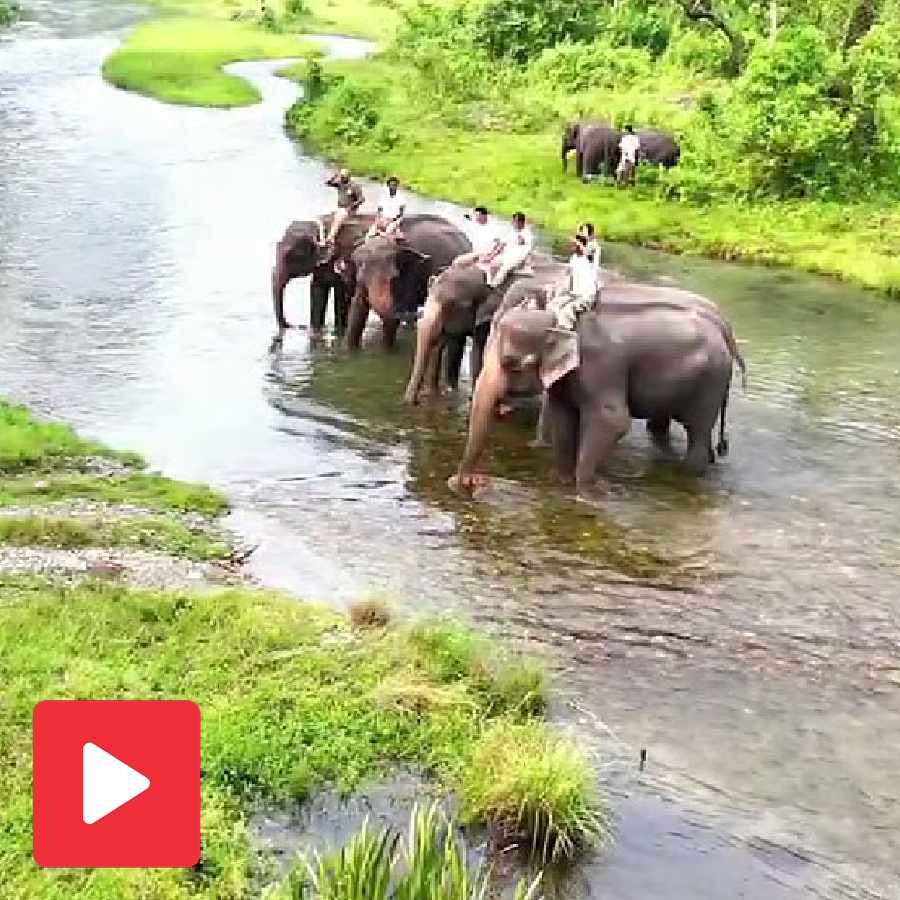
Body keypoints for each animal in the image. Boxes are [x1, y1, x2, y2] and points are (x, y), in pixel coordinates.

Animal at [345, 214, 472, 353]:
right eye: (361, 279)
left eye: (394, 277)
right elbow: (357, 311)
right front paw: (351, 351)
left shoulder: (411, 273)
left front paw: (386, 352)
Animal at [452, 292, 745, 497]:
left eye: (511, 362)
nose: (466, 482)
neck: (561, 320)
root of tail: (727, 336)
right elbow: (563, 419)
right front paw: (562, 483)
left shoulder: (601, 368)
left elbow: (613, 421)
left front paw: (587, 492)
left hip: (710, 383)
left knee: (697, 433)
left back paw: (687, 477)